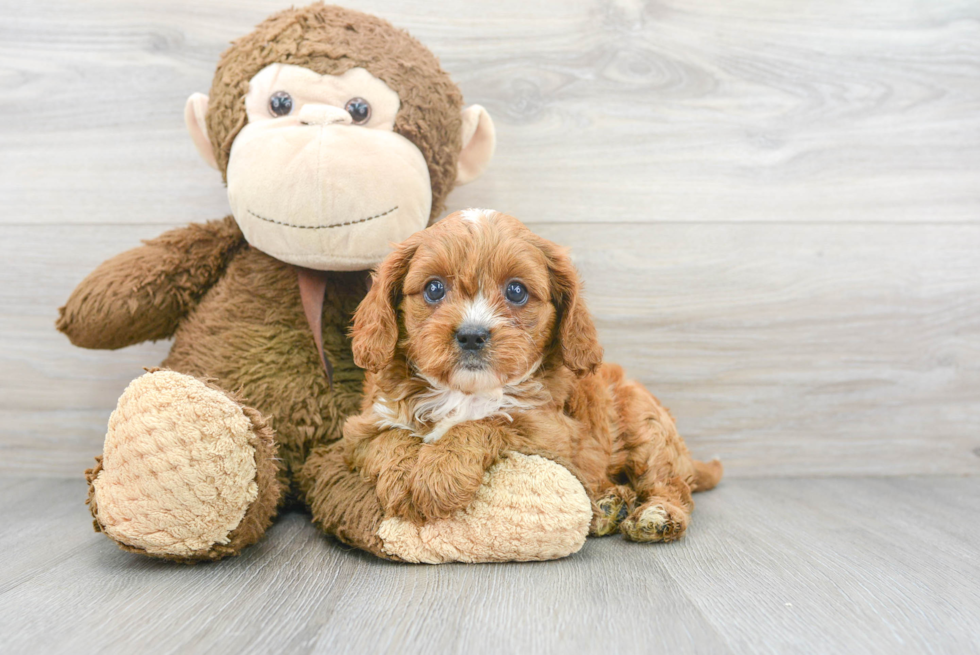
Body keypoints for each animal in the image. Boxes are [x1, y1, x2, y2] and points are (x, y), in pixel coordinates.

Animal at [342, 210, 720, 544]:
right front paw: (403, 476)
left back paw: (656, 515)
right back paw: (609, 506)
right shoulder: (360, 428)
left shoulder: (550, 433)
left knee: (671, 484)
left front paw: (438, 476)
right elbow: (389, 438)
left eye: (516, 291)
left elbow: (485, 422)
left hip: (646, 427)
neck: (464, 392)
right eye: (434, 289)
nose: (472, 335)